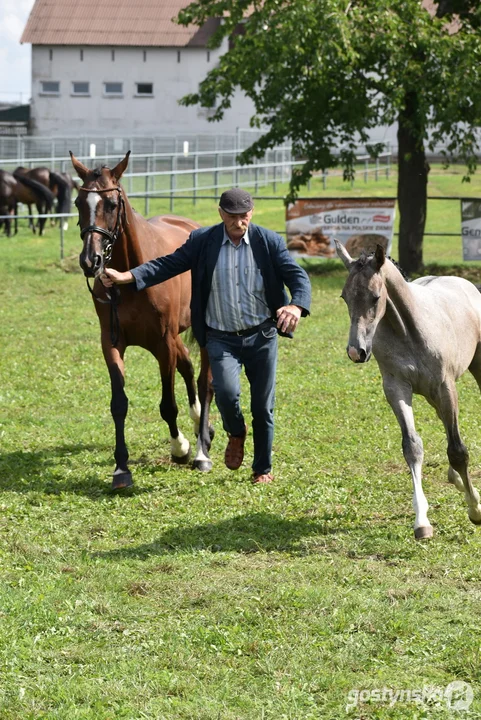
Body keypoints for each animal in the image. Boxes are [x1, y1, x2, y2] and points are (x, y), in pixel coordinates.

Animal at [70, 151, 214, 490]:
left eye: (112, 204)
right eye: (79, 203)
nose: (90, 261)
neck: (132, 276)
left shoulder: (163, 344)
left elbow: (168, 404)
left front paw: (180, 448)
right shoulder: (112, 344)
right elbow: (118, 404)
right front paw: (121, 469)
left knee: (204, 382)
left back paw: (201, 450)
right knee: (188, 367)